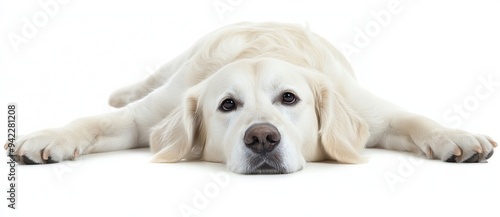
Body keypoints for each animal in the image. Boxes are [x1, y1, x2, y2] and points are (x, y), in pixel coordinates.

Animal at [4, 22, 496, 174]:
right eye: (227, 105)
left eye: (290, 98)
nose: (262, 138)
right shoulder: (151, 116)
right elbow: (101, 122)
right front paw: (47, 137)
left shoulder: (368, 111)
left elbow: (410, 119)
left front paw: (457, 137)